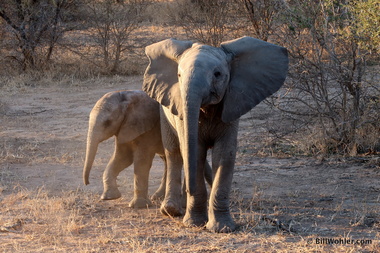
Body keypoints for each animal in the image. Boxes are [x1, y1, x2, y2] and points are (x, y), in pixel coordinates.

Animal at [142, 36, 288, 232]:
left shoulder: (233, 104)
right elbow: (194, 152)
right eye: (179, 76)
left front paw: (222, 228)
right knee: (174, 152)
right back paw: (172, 210)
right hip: (164, 112)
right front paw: (194, 223)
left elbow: (224, 154)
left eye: (217, 74)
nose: (189, 190)